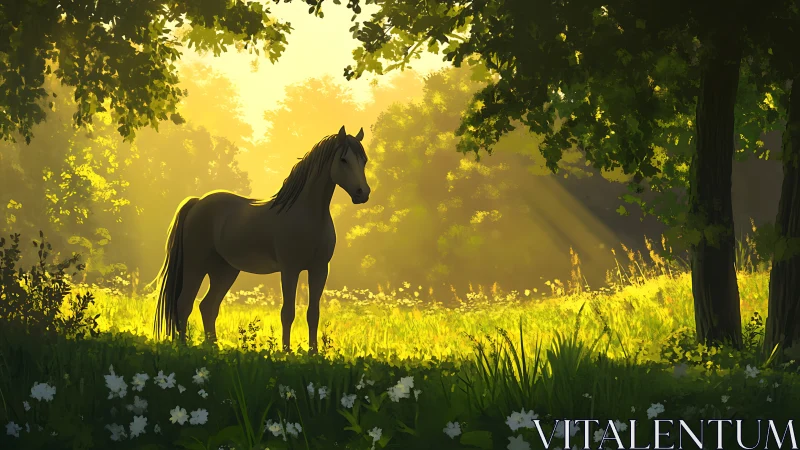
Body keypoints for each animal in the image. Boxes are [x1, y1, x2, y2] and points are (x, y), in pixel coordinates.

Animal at [152, 125, 370, 353]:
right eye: (343, 160)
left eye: (364, 160)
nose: (362, 193)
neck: (307, 214)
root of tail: (198, 202)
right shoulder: (290, 269)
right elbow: (288, 313)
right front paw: (286, 352)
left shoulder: (319, 269)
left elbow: (313, 314)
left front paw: (313, 353)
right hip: (195, 266)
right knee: (184, 304)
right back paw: (184, 347)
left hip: (224, 271)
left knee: (208, 306)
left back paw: (213, 348)